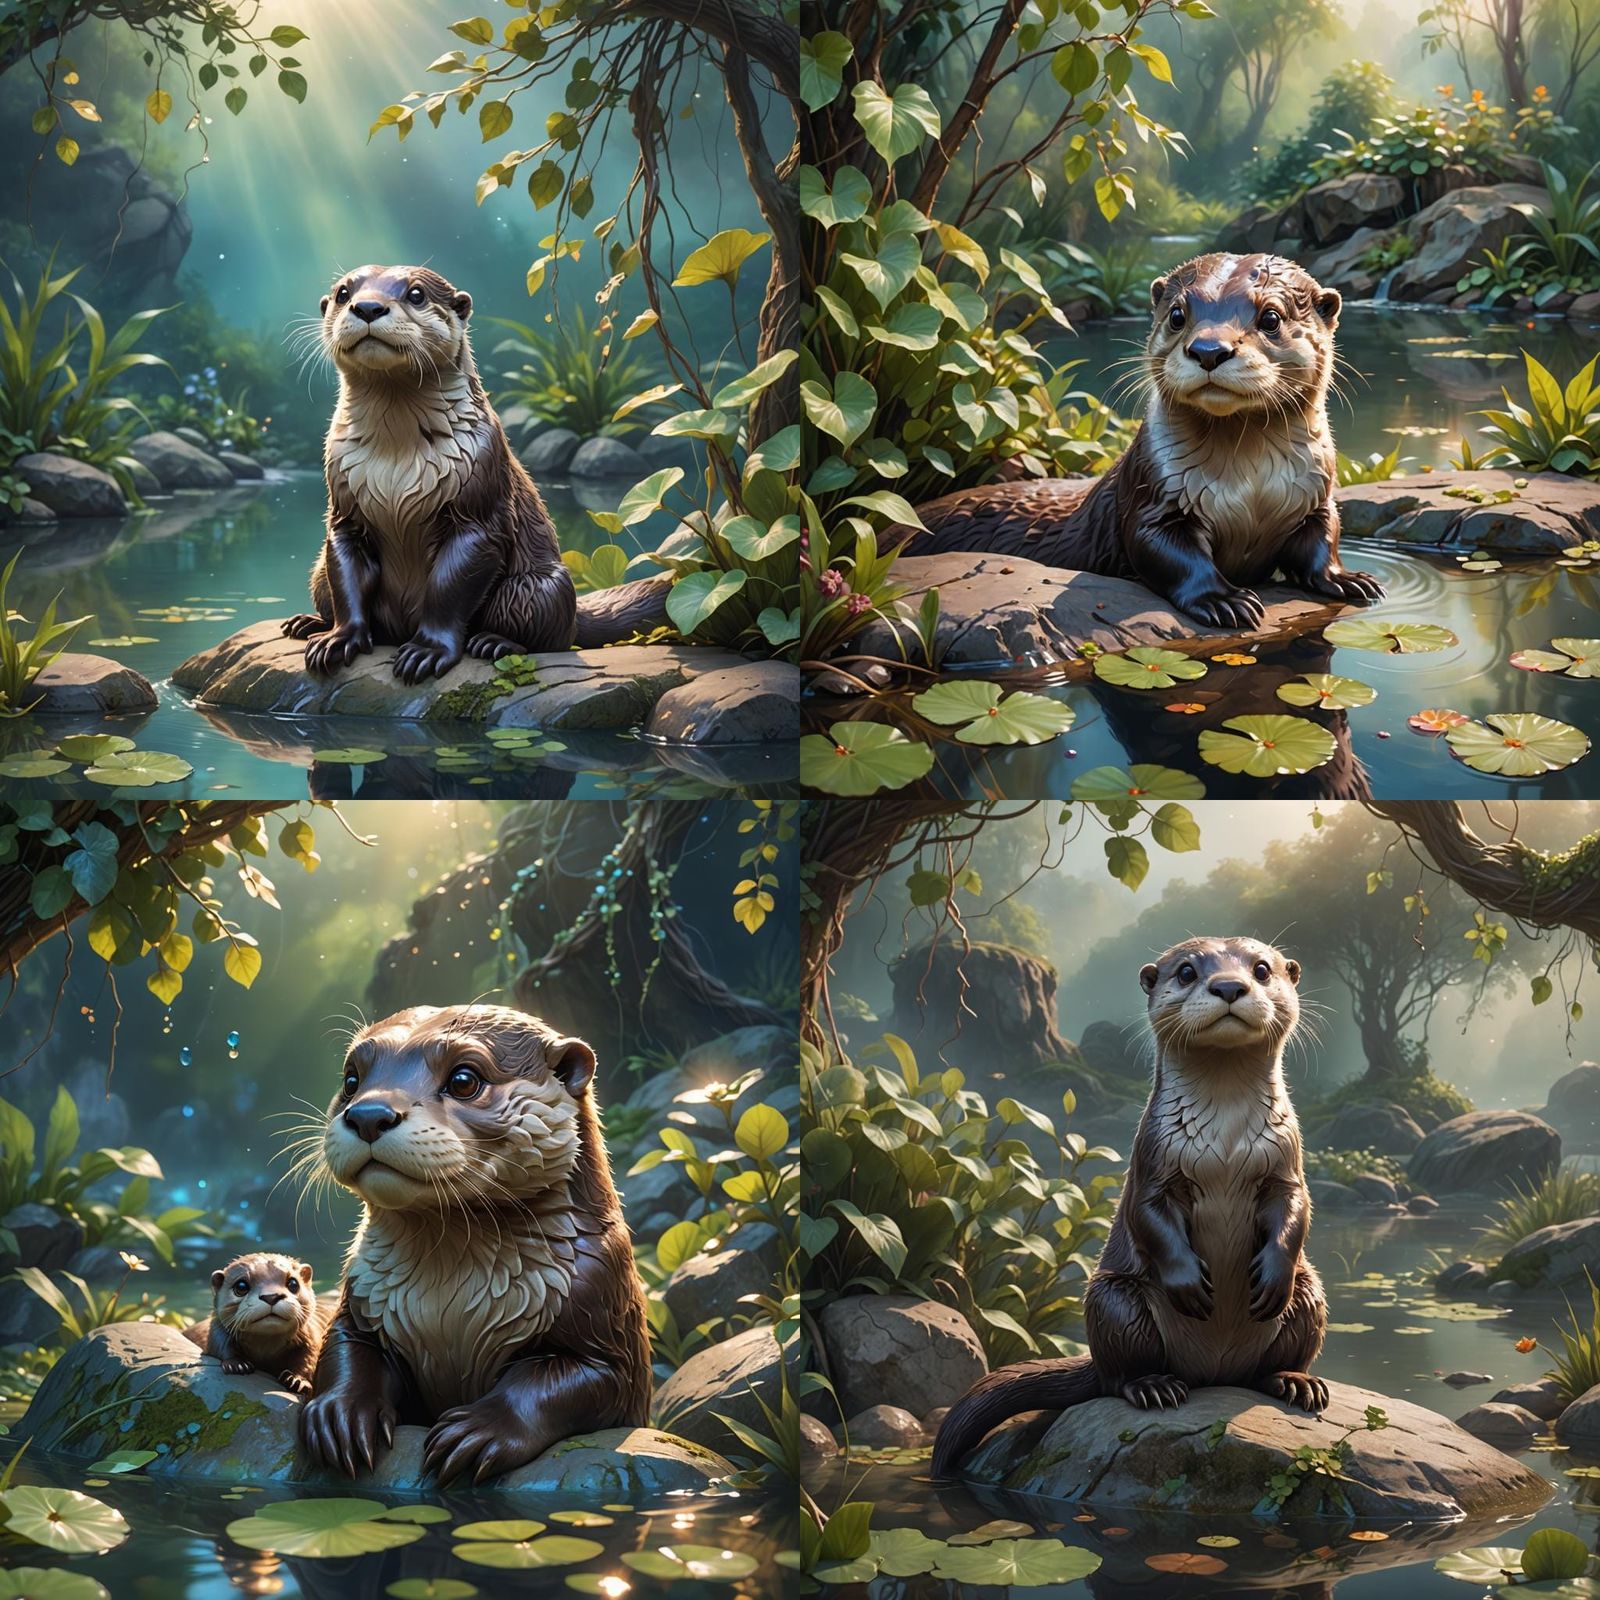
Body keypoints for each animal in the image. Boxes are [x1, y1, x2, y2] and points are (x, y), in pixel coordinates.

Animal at [184, 1253, 327, 1395]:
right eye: (241, 1286)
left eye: (293, 1283)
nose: (271, 1296)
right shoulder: (216, 1333)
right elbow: (221, 1345)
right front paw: (237, 1365)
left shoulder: (311, 1339)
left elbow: (308, 1359)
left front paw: (298, 1381)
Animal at [298, 1004, 652, 1486]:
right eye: (352, 1080)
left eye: (464, 1080)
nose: (368, 1114)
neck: (445, 1306)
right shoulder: (361, 1301)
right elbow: (344, 1349)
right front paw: (341, 1414)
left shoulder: (602, 1303)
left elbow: (573, 1384)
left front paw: (481, 1430)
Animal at [892, 254, 1385, 630]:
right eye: (1178, 315)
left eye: (1270, 317)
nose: (1209, 350)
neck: (1251, 489)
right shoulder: (1154, 496)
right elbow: (1167, 553)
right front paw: (1224, 599)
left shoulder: (1316, 494)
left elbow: (1323, 539)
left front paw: (1347, 579)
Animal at [931, 936, 1328, 1477]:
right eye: (1187, 971)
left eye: (1262, 969)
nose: (1228, 986)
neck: (1225, 1144)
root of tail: (1214, 1371)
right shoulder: (1151, 1164)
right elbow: (1148, 1216)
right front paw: (1189, 1284)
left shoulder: (1285, 1160)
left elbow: (1295, 1208)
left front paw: (1271, 1277)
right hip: (1114, 1302)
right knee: (1119, 1375)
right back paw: (1154, 1386)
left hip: (1310, 1298)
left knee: (1280, 1348)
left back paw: (1294, 1381)